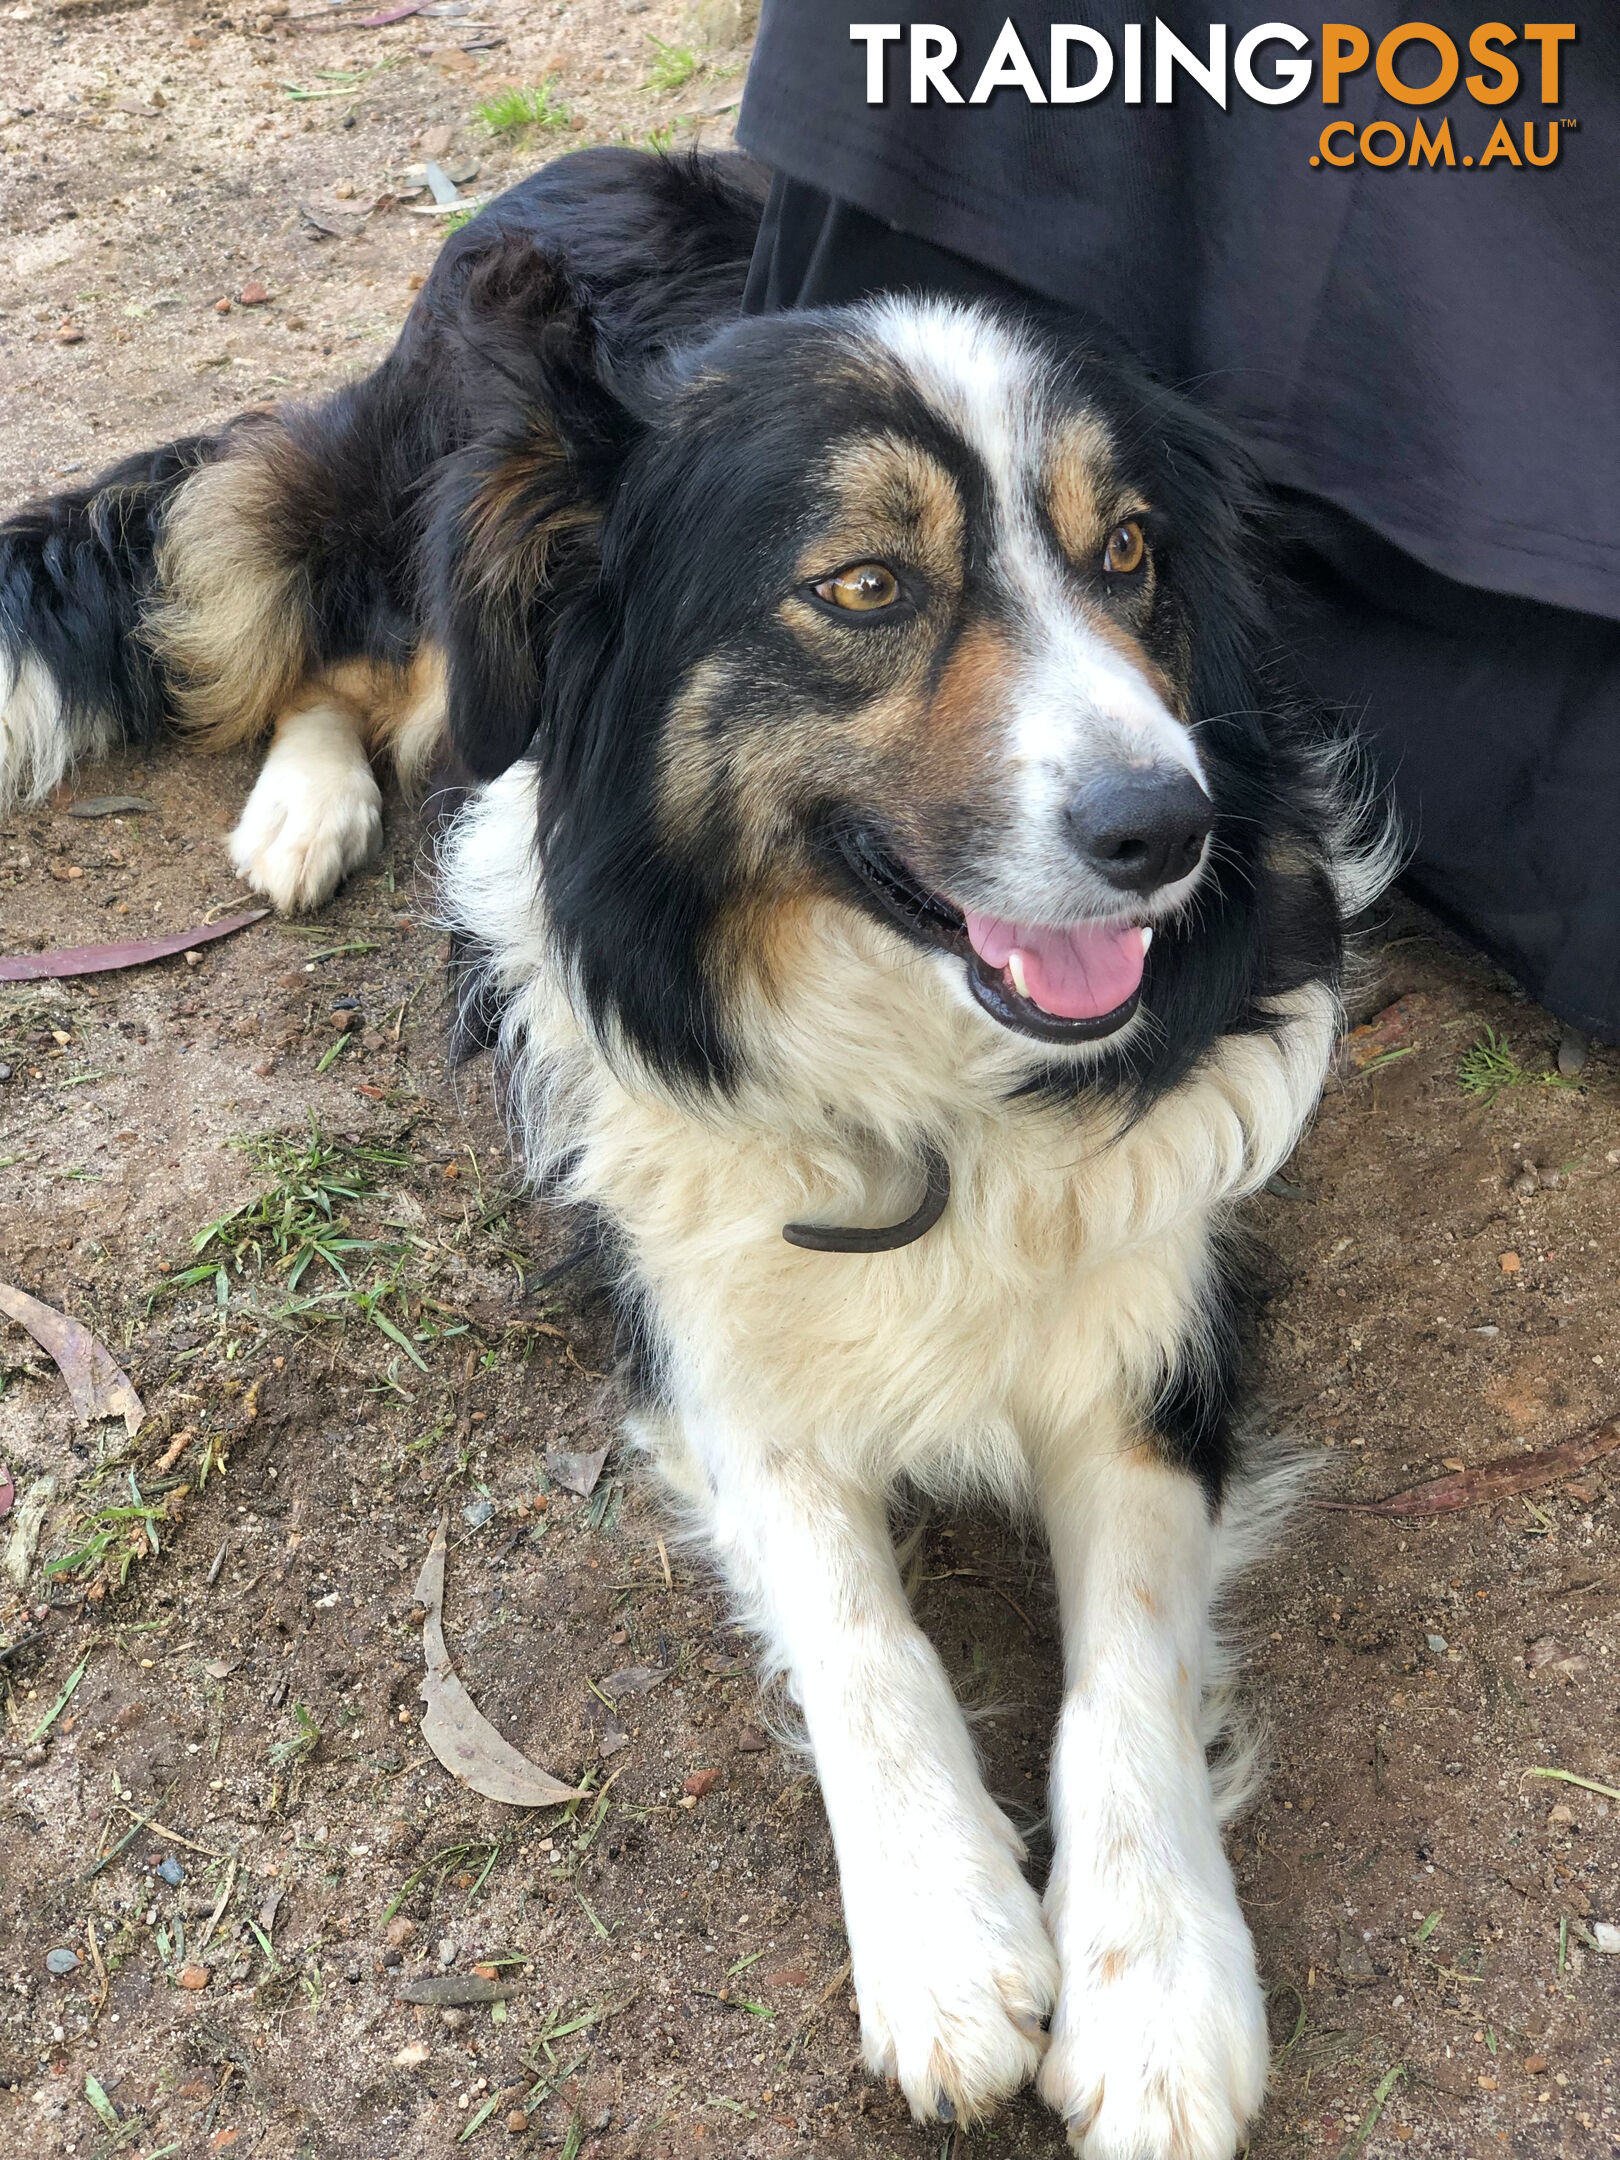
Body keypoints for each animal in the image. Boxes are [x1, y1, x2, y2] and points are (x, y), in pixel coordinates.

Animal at [0, 147, 1399, 2142]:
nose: (1172, 826)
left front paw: (1156, 1992)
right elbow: (856, 1619)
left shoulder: (1157, 1322)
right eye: (866, 585)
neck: (918, 1066)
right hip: (448, 585)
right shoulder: (699, 1321)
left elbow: (1126, 1654)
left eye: (1128, 554)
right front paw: (946, 1936)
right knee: (344, 663)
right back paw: (302, 808)